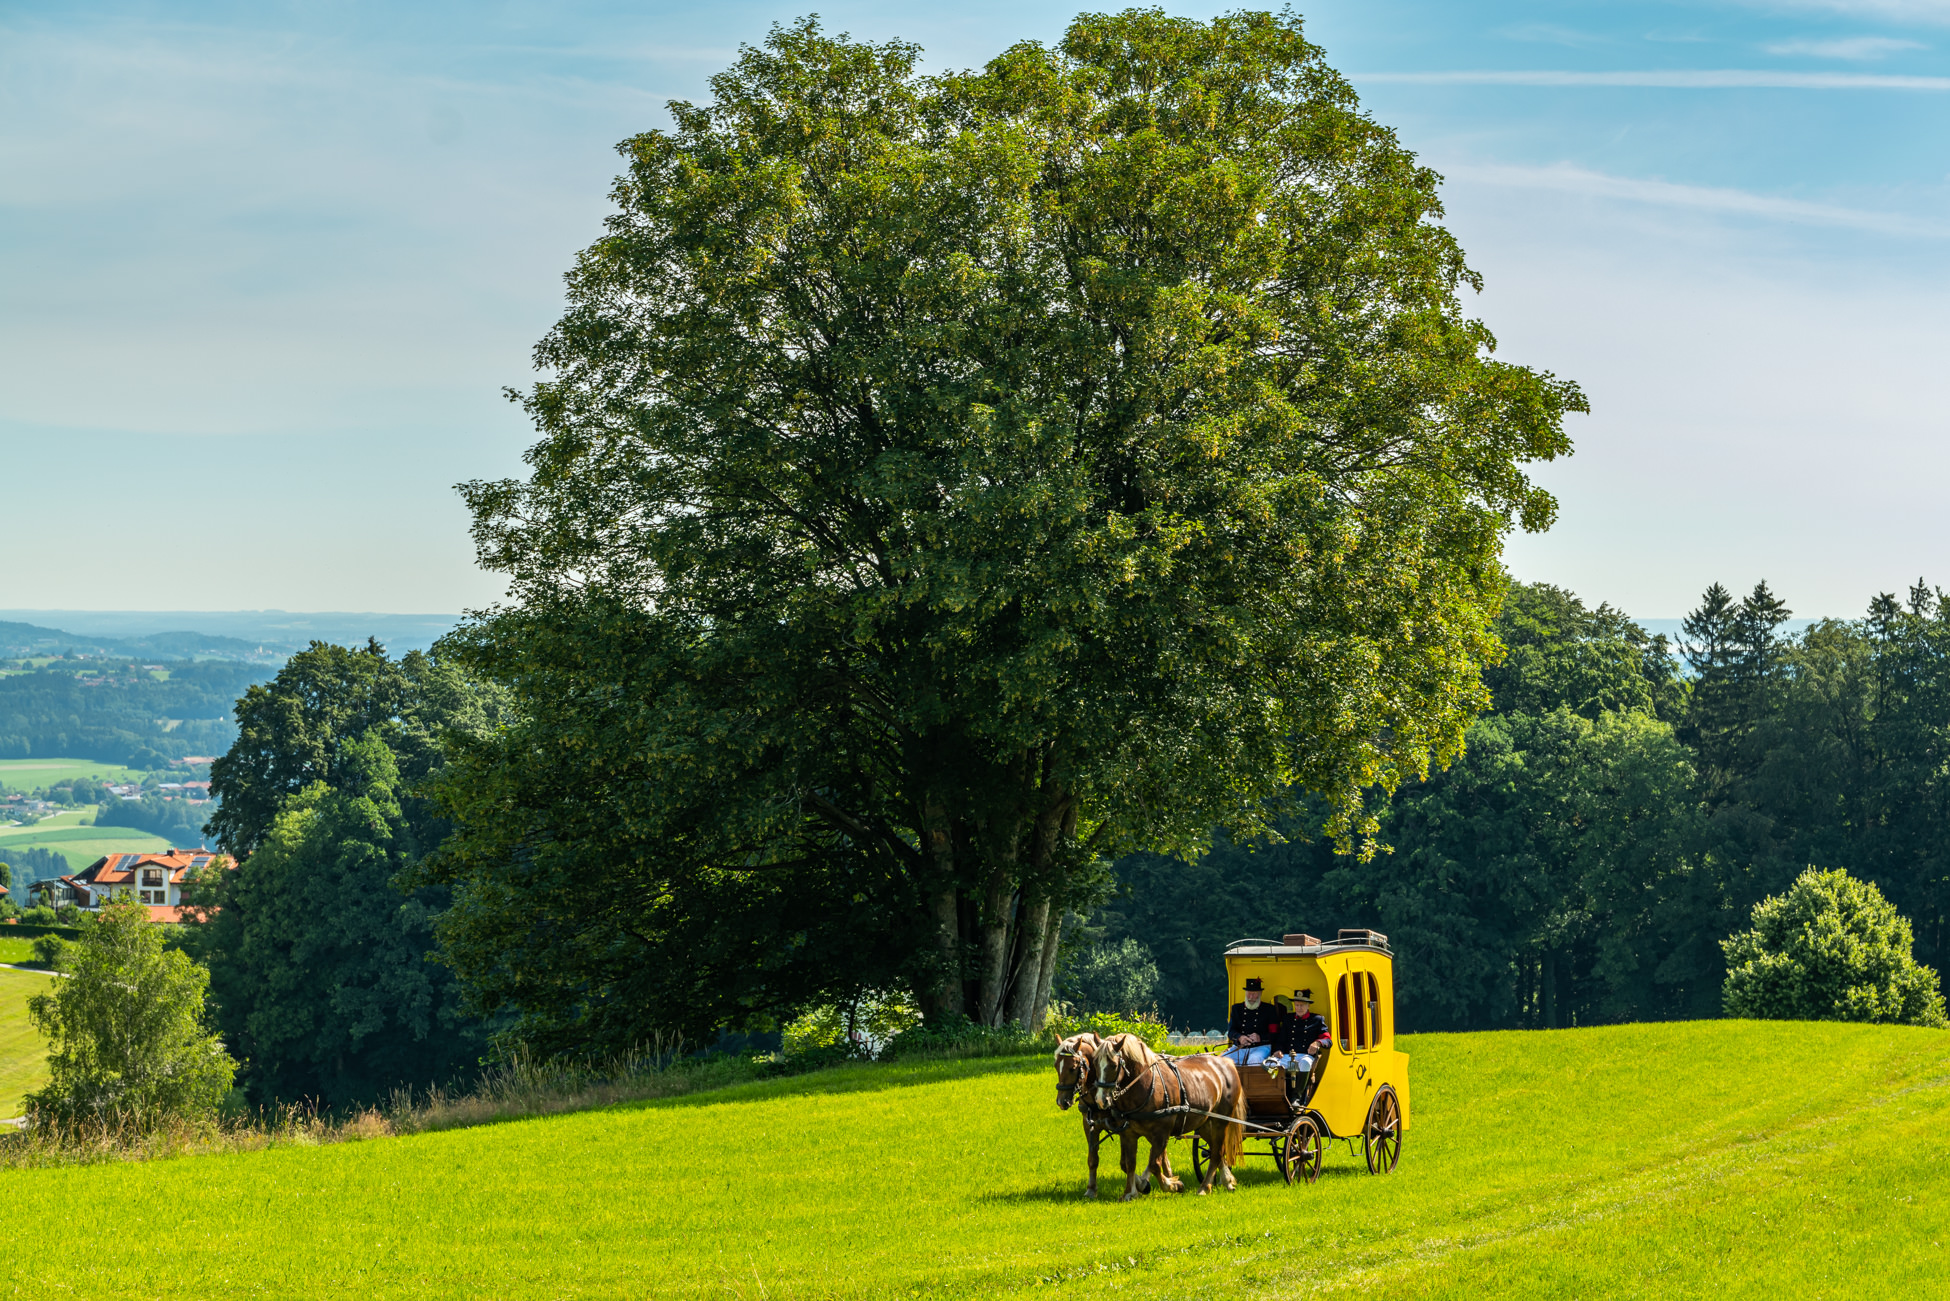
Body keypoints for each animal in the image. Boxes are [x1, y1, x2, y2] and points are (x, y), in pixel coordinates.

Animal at [1090, 1032, 1244, 1200]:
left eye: (1113, 1065)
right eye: (1095, 1063)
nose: (1101, 1099)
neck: (1146, 1085)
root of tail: (1226, 1062)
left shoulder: (1161, 1132)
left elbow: (1155, 1164)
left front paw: (1172, 1185)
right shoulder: (1127, 1133)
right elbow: (1128, 1164)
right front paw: (1129, 1193)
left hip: (1220, 1121)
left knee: (1216, 1153)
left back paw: (1204, 1187)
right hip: (1204, 1123)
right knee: (1218, 1149)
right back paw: (1226, 1181)